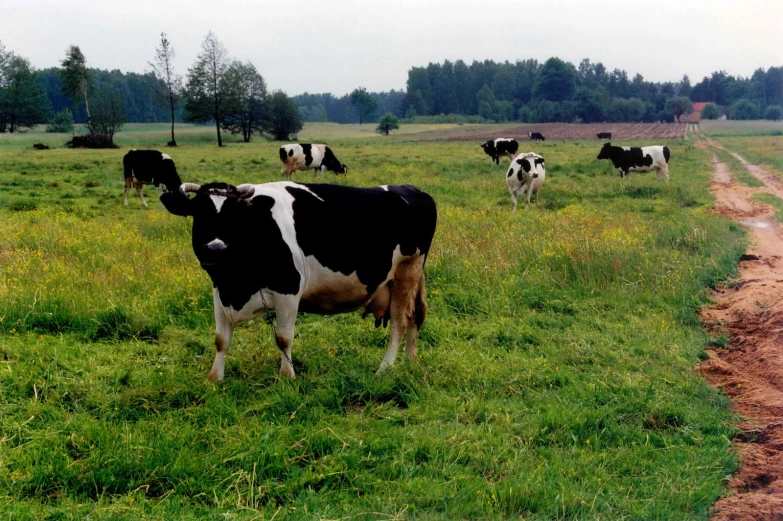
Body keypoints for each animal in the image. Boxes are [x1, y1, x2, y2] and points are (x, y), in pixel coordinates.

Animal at [160, 181, 438, 380]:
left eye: (235, 216)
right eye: (199, 213)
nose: (216, 248)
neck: (237, 283)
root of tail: (413, 190)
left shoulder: (288, 290)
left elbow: (283, 337)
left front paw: (287, 376)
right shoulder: (219, 291)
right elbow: (221, 339)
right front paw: (214, 379)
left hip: (407, 271)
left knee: (400, 323)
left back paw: (385, 368)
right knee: (414, 317)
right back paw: (411, 362)